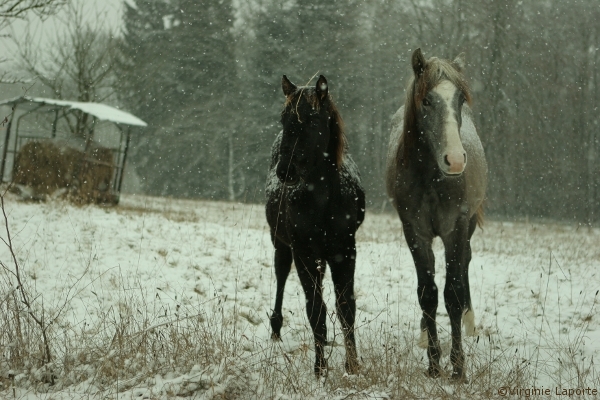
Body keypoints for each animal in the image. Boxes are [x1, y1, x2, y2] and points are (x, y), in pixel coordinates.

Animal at [266, 75, 366, 376]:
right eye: (283, 118)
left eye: (312, 120)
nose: (285, 172)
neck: (323, 198)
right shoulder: (305, 254)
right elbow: (316, 311)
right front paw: (320, 370)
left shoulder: (345, 251)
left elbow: (346, 308)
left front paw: (352, 365)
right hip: (281, 244)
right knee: (281, 275)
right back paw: (275, 328)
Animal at [384, 49, 488, 382]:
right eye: (426, 101)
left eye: (460, 99)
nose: (455, 160)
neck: (430, 178)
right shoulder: (415, 231)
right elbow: (427, 293)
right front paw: (433, 363)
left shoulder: (456, 228)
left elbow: (452, 293)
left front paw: (458, 367)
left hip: (467, 227)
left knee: (465, 264)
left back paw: (469, 321)